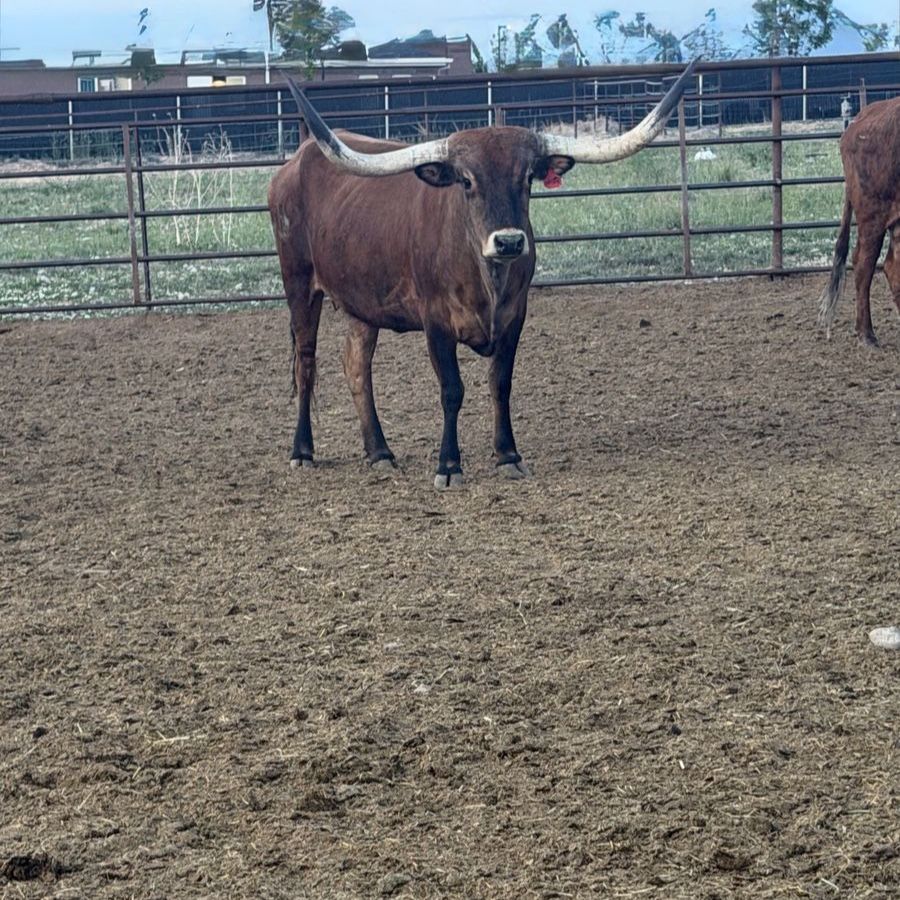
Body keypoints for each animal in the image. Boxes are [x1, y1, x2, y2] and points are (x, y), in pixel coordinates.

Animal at [269, 62, 696, 489]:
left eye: (527, 178)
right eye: (467, 180)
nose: (508, 241)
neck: (485, 277)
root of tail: (294, 163)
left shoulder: (515, 317)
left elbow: (501, 383)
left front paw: (508, 455)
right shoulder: (435, 321)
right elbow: (451, 390)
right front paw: (448, 466)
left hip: (362, 301)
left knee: (356, 365)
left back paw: (380, 452)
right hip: (299, 283)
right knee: (306, 363)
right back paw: (302, 451)